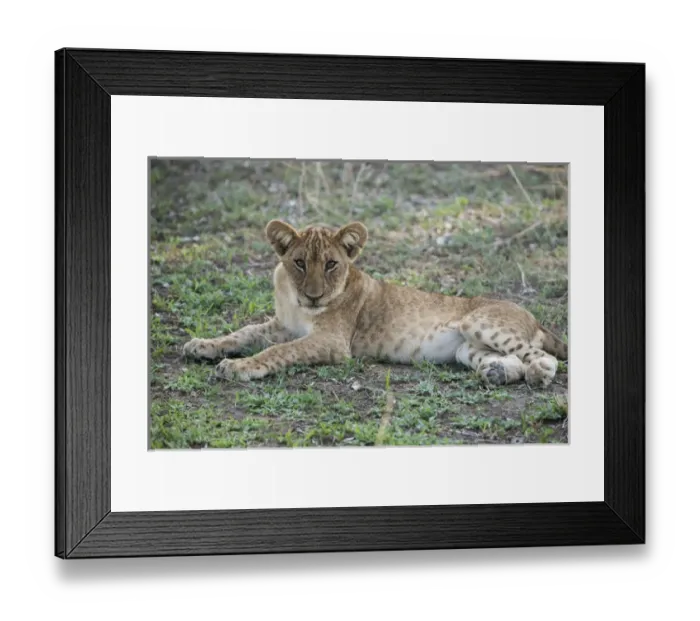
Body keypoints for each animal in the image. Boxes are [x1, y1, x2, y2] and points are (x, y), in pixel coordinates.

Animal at [183, 220, 568, 385]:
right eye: (299, 262)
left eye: (331, 264)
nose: (314, 295)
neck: (296, 301)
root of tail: (533, 317)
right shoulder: (282, 326)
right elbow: (243, 333)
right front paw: (201, 345)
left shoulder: (333, 342)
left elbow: (277, 352)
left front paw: (239, 367)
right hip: (466, 348)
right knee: (511, 359)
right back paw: (497, 373)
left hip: (477, 322)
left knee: (545, 359)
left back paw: (536, 374)